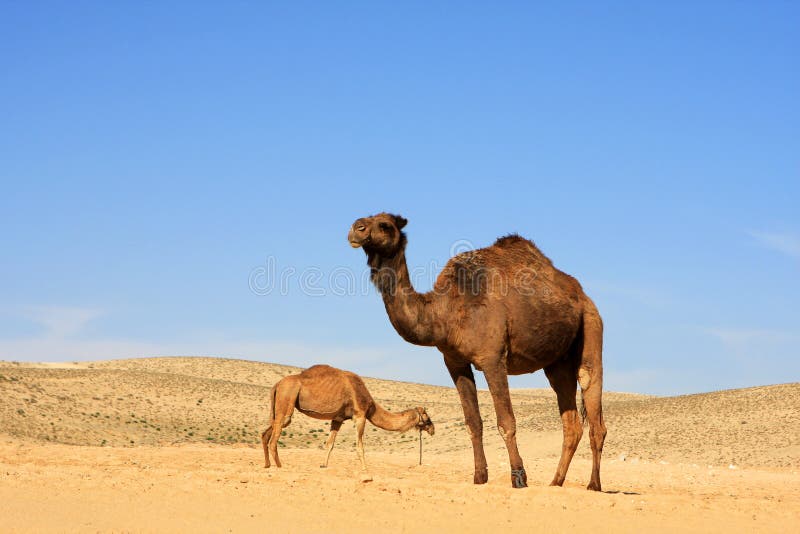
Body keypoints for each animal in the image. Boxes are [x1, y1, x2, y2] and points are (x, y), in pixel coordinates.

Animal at [262, 364, 434, 478]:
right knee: (275, 437)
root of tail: (277, 385)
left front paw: (324, 465)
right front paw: (365, 471)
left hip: (278, 406)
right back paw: (280, 467)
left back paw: (267, 465)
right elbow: (360, 447)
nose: (432, 428)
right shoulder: (360, 415)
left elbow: (329, 444)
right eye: (426, 415)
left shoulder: (338, 418)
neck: (371, 406)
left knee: (266, 433)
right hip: (287, 397)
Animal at [348, 214, 608, 490]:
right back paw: (555, 482)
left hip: (591, 325)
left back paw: (594, 484)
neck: (445, 310)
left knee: (592, 401)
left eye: (385, 225)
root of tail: (583, 296)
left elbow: (506, 422)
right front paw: (479, 477)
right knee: (571, 422)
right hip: (557, 362)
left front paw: (519, 477)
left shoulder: (493, 358)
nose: (356, 229)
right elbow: (473, 423)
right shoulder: (454, 361)